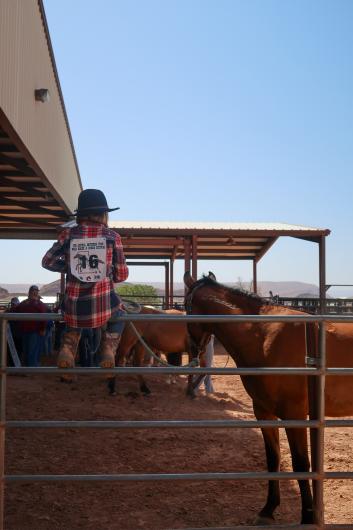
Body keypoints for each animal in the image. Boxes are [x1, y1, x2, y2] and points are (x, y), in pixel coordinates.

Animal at [183, 272, 352, 524]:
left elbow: (301, 463)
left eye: (185, 306)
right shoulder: (264, 412)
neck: (264, 337)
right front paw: (268, 509)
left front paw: (307, 516)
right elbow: (273, 458)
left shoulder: (294, 415)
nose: (192, 349)